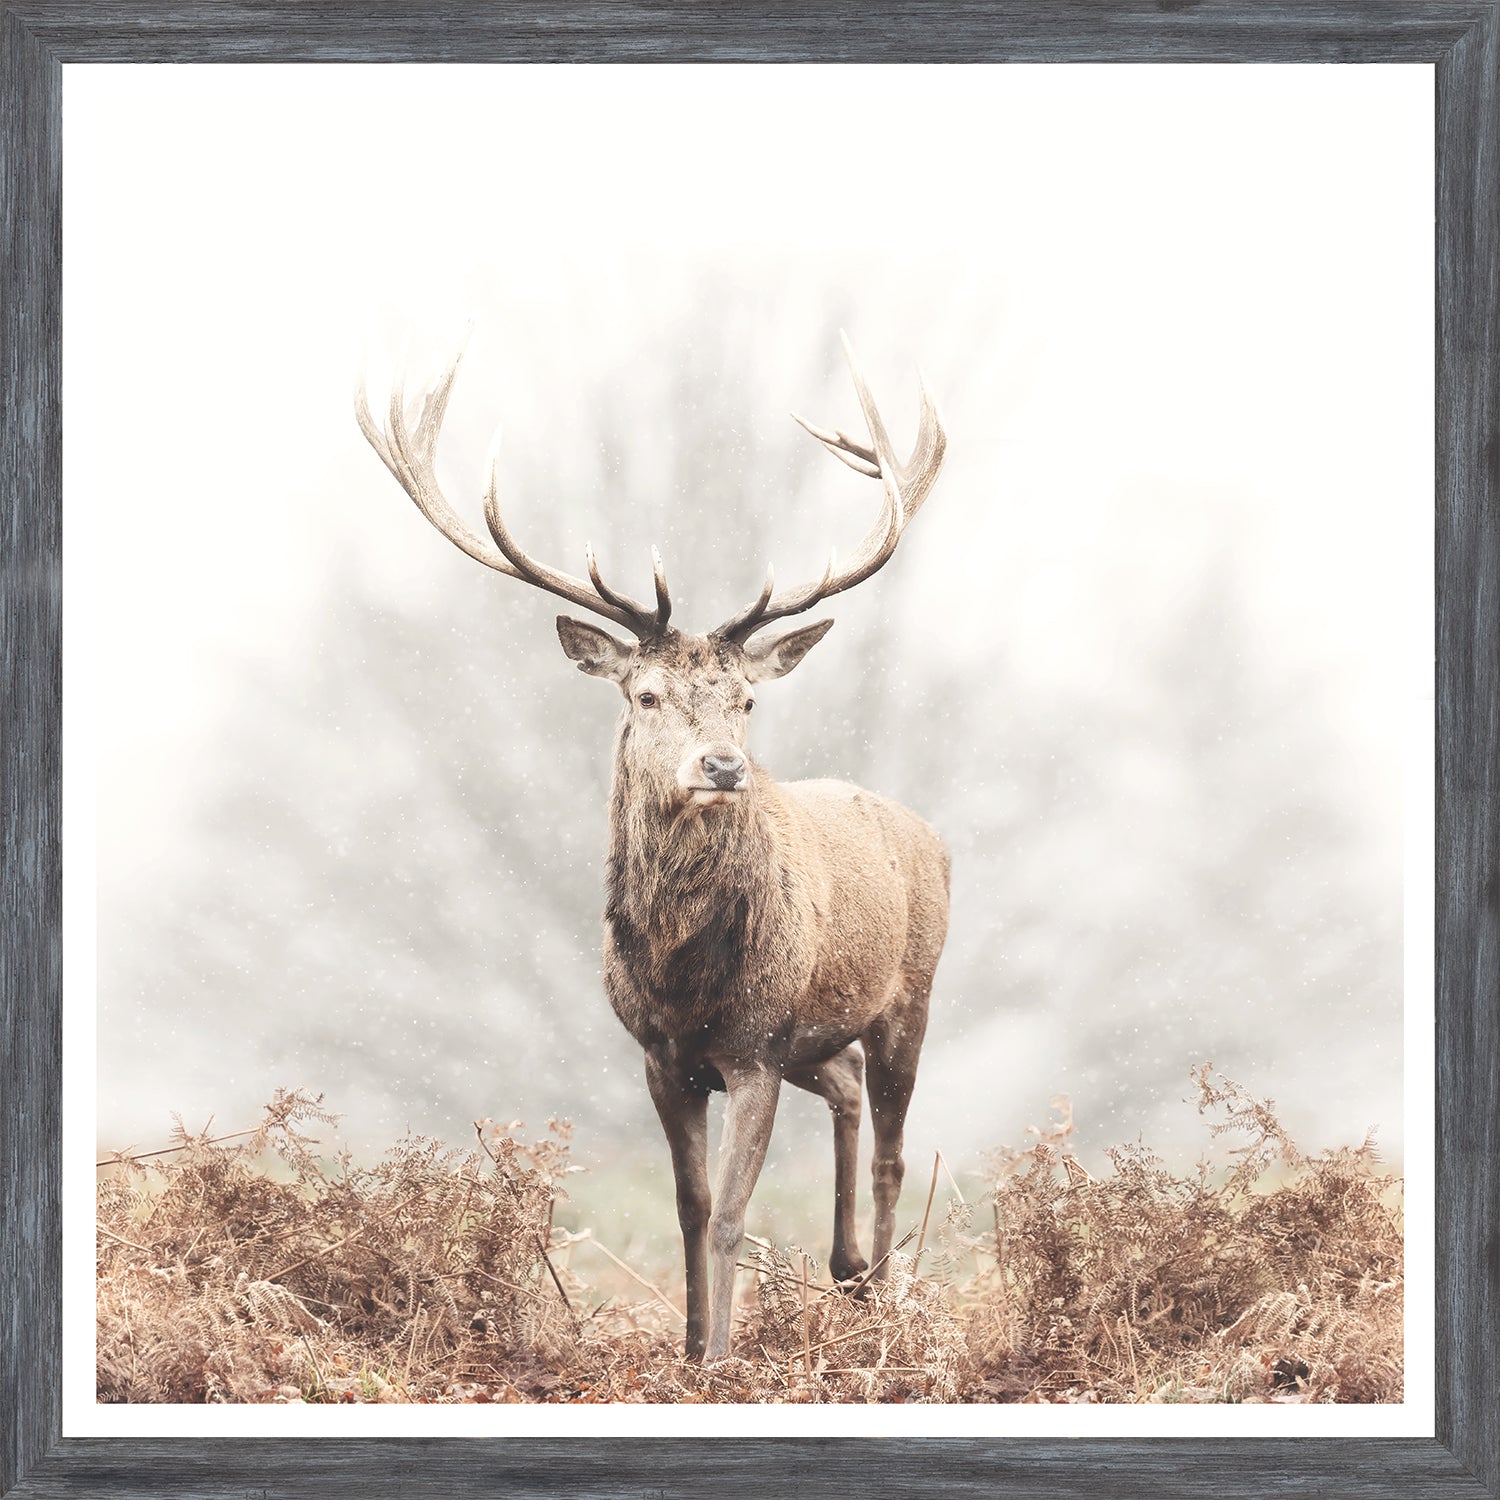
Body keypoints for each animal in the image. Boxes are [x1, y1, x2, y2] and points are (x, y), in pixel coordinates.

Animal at [356, 334, 950, 1361]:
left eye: (746, 700)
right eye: (645, 695)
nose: (722, 765)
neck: (683, 977)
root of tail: (931, 836)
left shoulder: (754, 1046)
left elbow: (734, 1215)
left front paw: (722, 1357)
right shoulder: (662, 1056)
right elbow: (688, 1206)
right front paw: (687, 1348)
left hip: (910, 992)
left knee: (892, 1147)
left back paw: (879, 1291)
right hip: (814, 1038)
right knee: (842, 1089)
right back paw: (846, 1273)